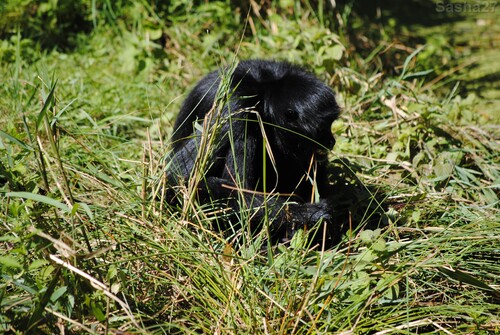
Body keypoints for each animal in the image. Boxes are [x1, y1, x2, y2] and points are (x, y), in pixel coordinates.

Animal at [166, 59, 342, 245]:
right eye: (322, 128)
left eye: (330, 124)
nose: (331, 140)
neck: (266, 92)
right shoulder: (236, 105)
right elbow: (178, 176)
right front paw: (306, 213)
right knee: (244, 137)